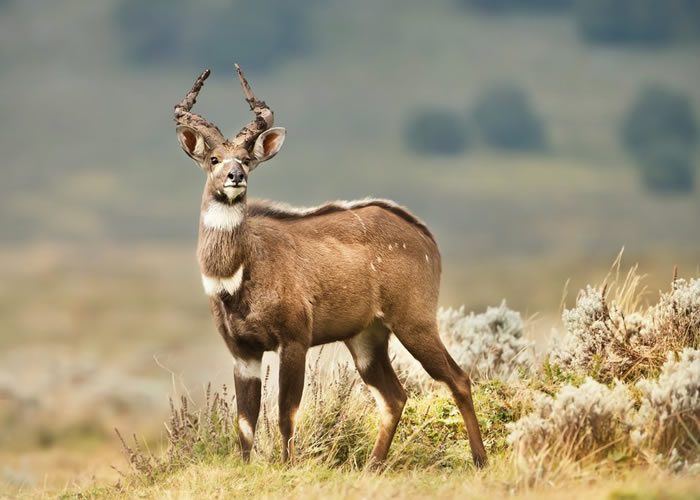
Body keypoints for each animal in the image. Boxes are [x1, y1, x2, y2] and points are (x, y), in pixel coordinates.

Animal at [175, 65, 486, 468]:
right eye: (214, 159)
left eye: (245, 158)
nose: (235, 177)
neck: (238, 276)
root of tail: (425, 235)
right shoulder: (243, 351)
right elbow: (245, 423)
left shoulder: (294, 339)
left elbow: (286, 413)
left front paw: (288, 467)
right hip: (366, 336)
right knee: (394, 396)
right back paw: (372, 467)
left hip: (414, 321)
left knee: (457, 377)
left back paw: (480, 460)